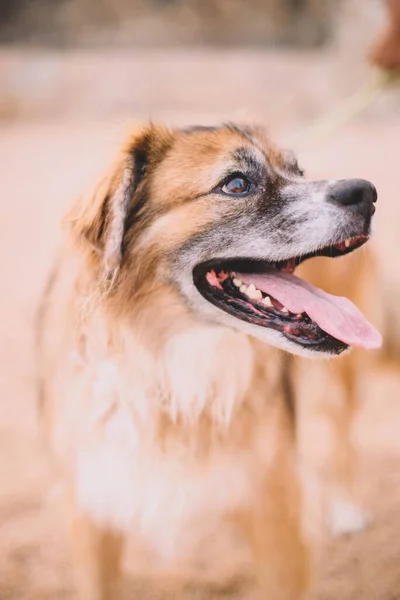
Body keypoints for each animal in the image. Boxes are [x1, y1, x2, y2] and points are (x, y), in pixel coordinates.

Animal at [36, 123, 382, 600]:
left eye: (298, 172)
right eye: (236, 185)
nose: (366, 192)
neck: (170, 367)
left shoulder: (276, 516)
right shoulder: (93, 512)